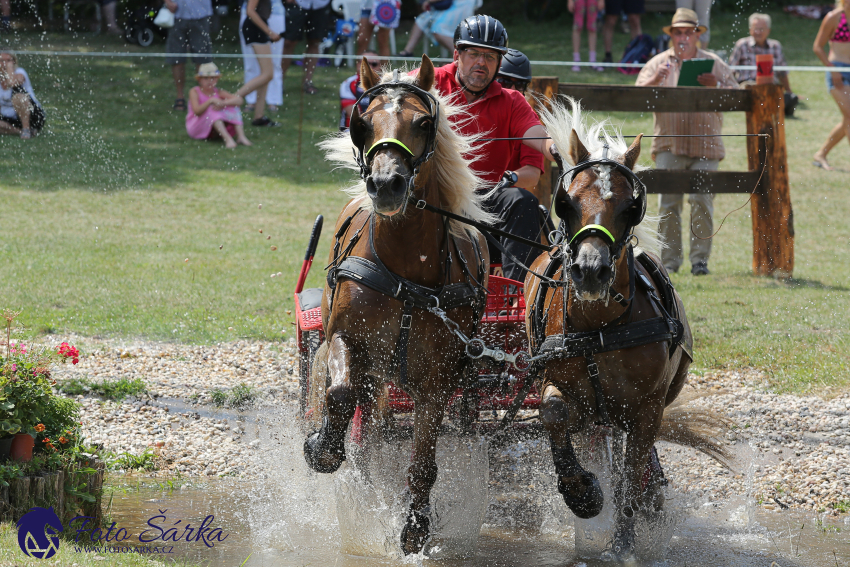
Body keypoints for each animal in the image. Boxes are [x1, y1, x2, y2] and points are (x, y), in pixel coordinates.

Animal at [304, 56, 490, 556]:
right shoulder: (347, 340)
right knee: (354, 415)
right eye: (362, 123)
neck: (408, 270)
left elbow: (423, 462)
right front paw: (322, 448)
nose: (386, 184)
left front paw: (415, 527)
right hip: (366, 368)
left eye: (424, 123)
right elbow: (338, 394)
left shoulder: (437, 380)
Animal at [524, 97, 728, 560]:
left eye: (629, 206)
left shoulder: (645, 409)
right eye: (567, 202)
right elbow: (553, 413)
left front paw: (623, 543)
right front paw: (581, 494)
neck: (600, 327)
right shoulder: (559, 387)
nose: (590, 270)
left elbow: (631, 478)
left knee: (634, 466)